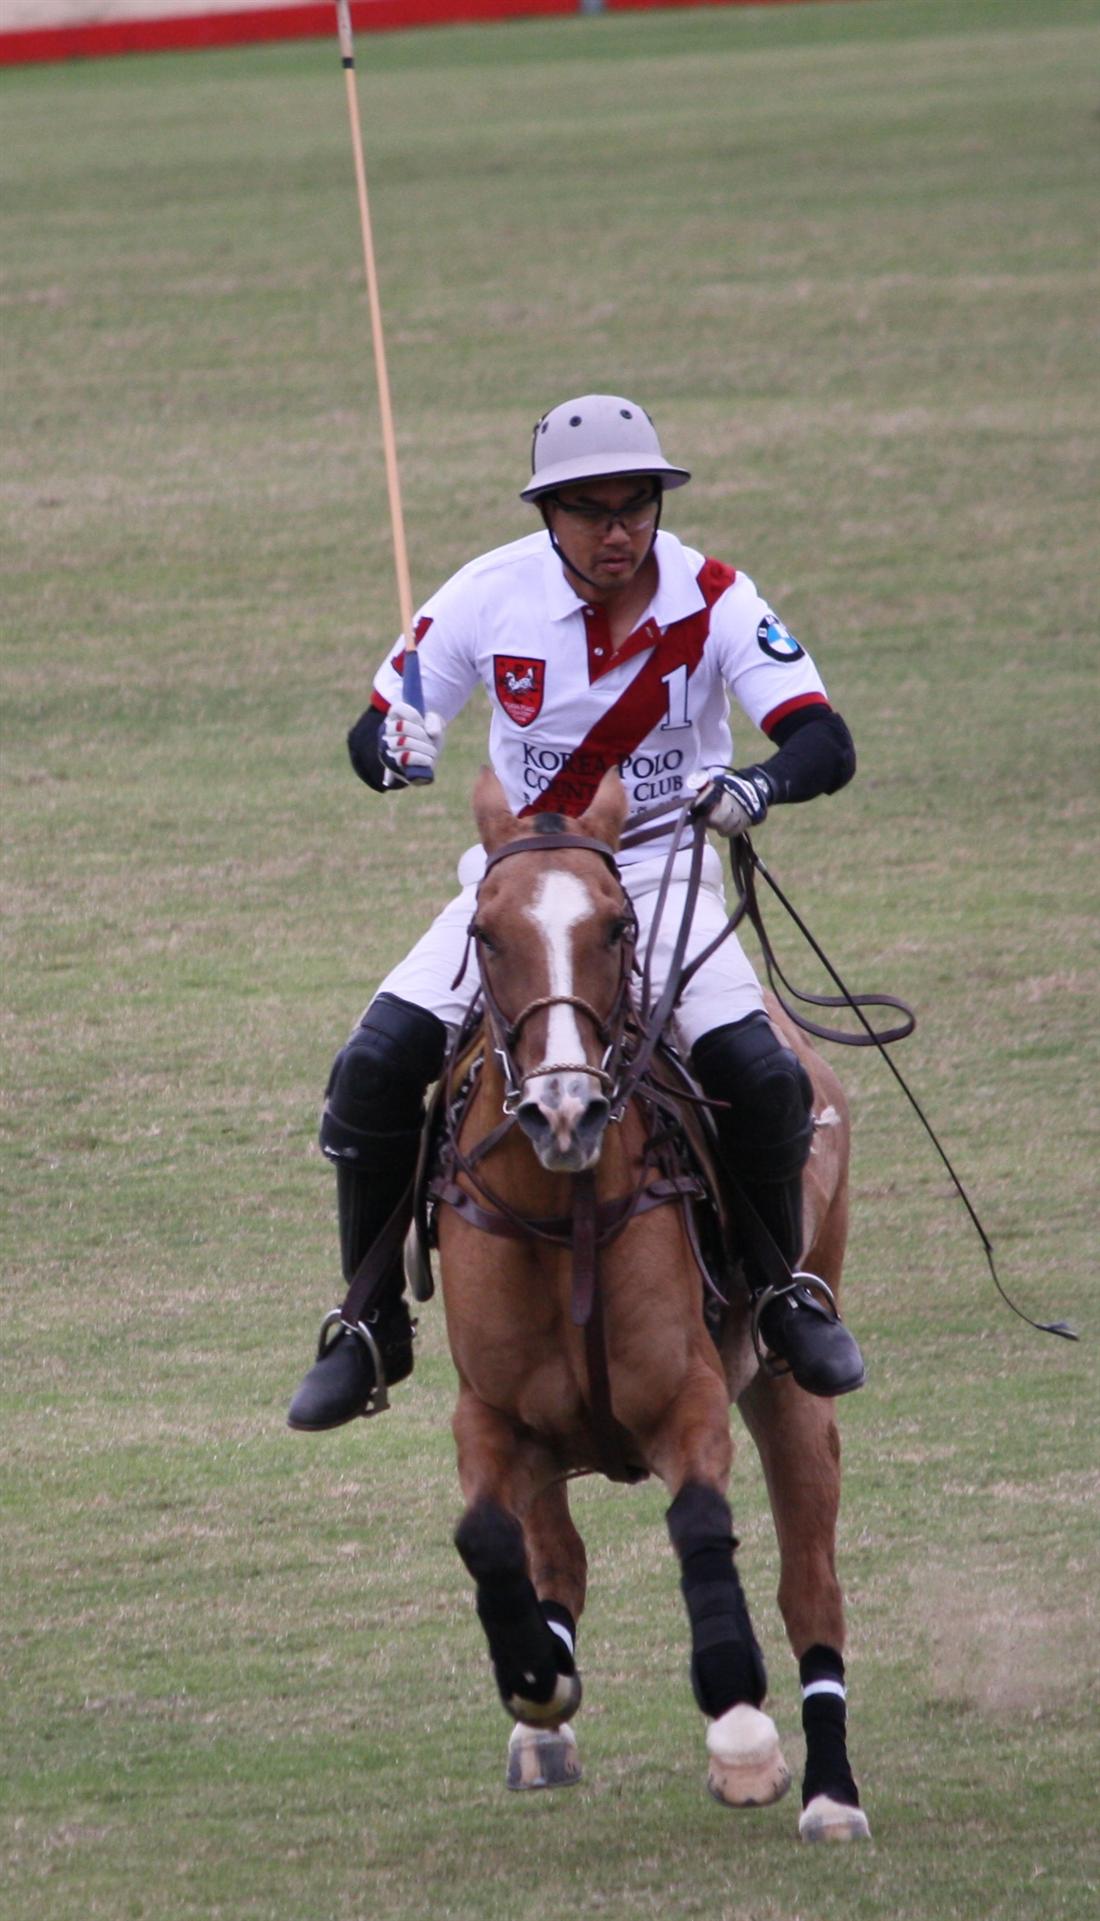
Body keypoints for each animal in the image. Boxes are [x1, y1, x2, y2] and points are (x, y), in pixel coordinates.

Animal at [432, 765, 870, 1843]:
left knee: (811, 1589)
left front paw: (743, 1738)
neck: (564, 1212)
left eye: (618, 926)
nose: (563, 1111)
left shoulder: (688, 1398)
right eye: (485, 931)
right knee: (558, 1554)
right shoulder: (488, 1412)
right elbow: (489, 1537)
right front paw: (535, 1679)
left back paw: (830, 1791)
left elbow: (702, 1524)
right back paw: (541, 1721)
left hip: (790, 1380)